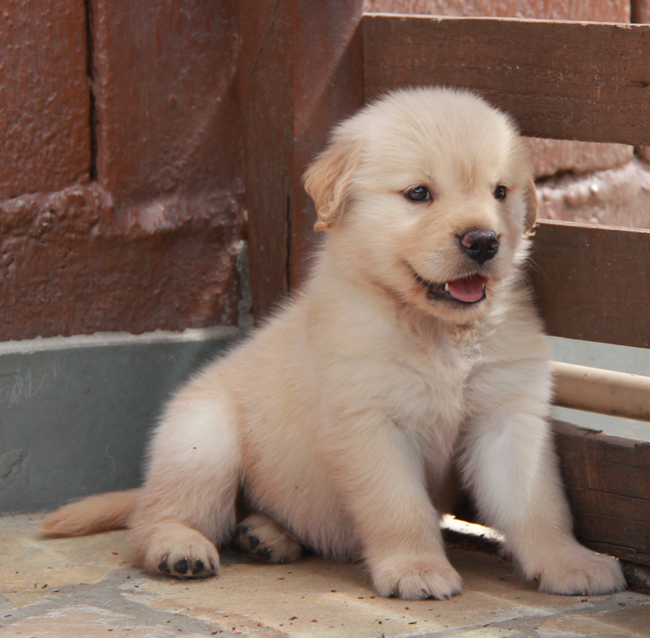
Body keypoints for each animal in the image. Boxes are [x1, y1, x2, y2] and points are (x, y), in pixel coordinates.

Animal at [39, 89, 624, 600]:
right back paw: (179, 548)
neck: (433, 329)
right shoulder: (368, 422)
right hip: (201, 440)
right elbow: (399, 507)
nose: (483, 241)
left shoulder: (507, 415)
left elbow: (536, 503)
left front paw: (570, 563)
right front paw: (416, 569)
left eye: (500, 192)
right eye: (419, 193)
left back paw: (266, 534)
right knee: (157, 519)